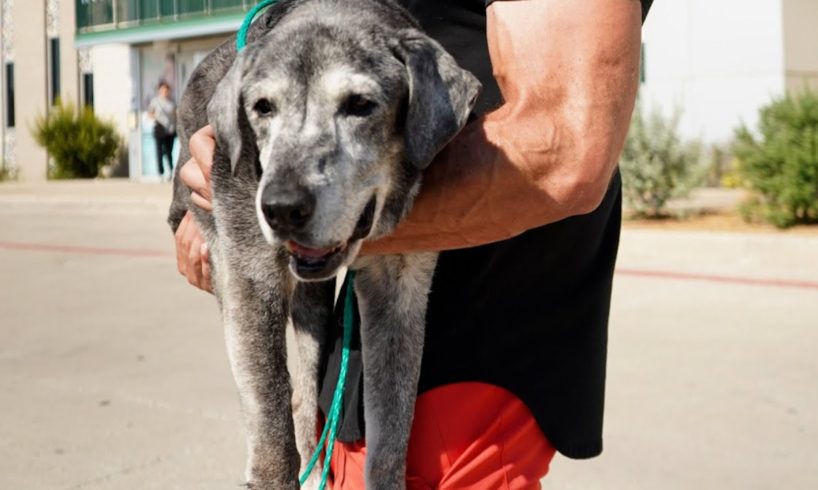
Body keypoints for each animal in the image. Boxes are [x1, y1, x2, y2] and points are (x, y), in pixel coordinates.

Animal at [169, 0, 482, 486]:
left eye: (360, 105)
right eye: (262, 107)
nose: (280, 208)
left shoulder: (400, 289)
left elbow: (392, 432)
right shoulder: (249, 277)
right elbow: (269, 408)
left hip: (313, 306)